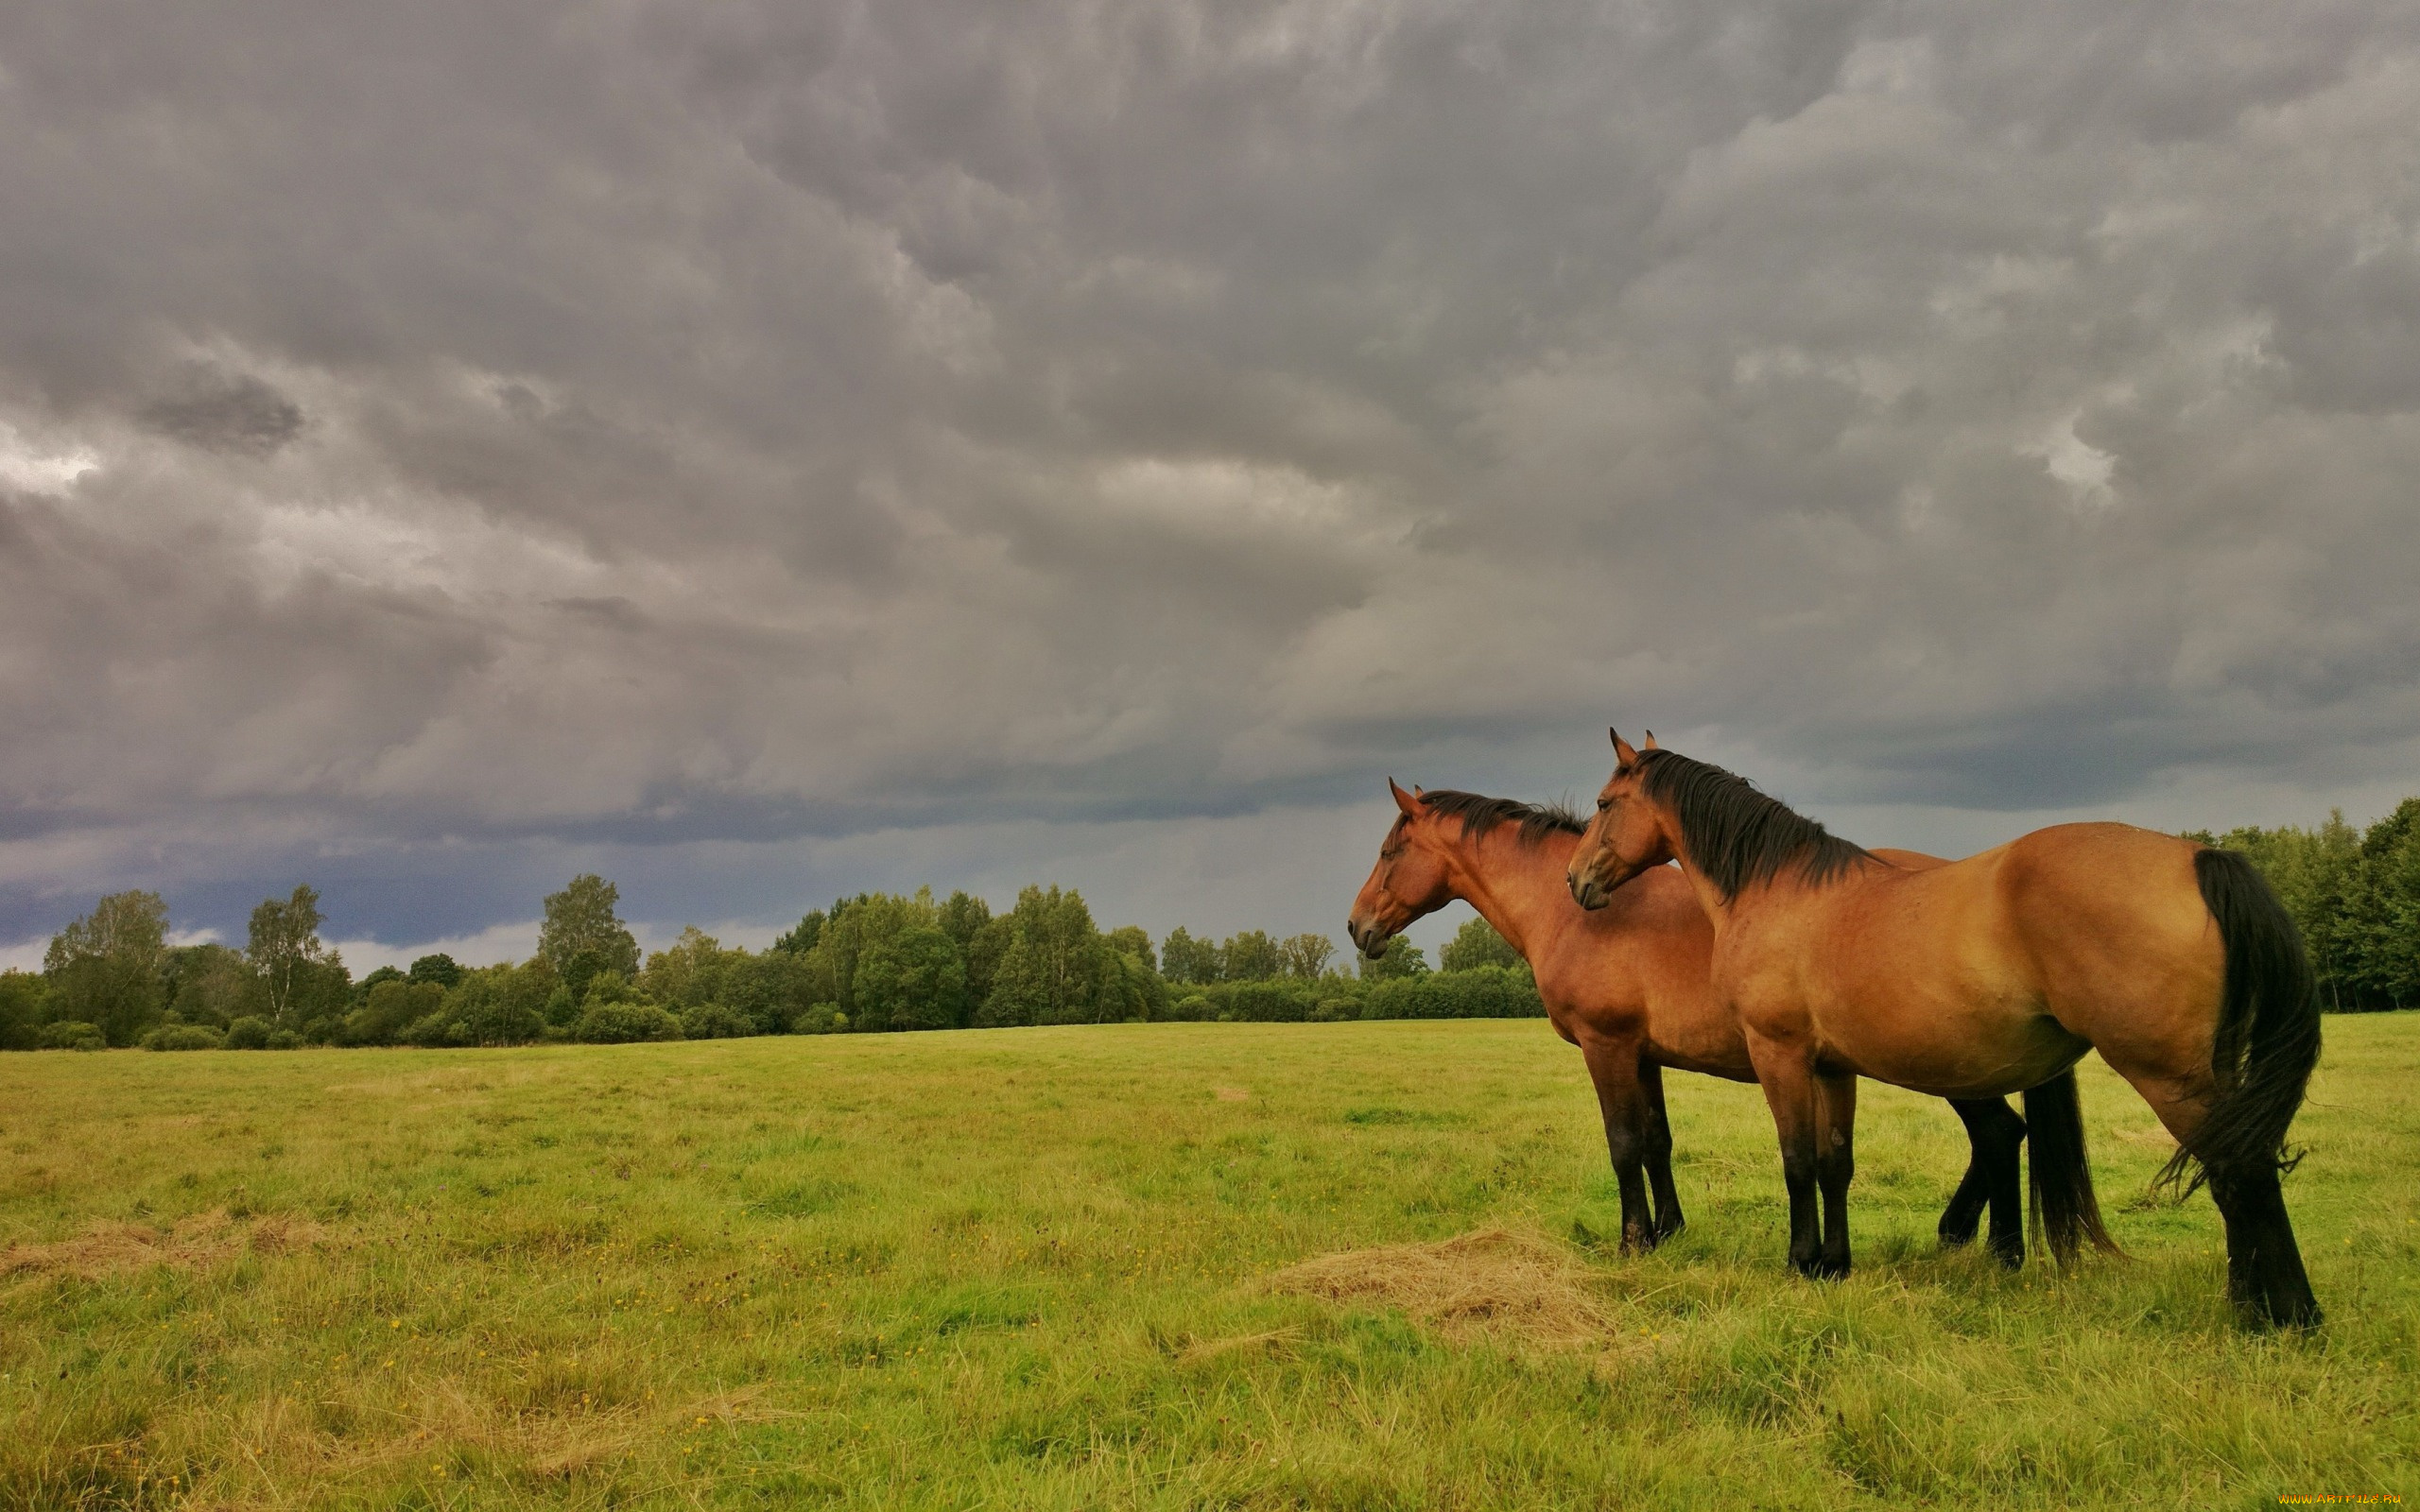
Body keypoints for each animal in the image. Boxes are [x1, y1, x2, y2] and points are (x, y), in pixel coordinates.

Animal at [1345, 779, 2100, 1258]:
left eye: (1388, 852)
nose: (1356, 927)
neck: (1578, 912)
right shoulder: (1643, 1054)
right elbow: (1656, 1141)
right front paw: (1670, 1231)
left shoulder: (1606, 1046)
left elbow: (1624, 1143)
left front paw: (1633, 1243)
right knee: (2000, 1134)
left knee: (1999, 1133)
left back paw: (1992, 1248)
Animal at [1558, 735, 2313, 1325]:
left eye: (1604, 804)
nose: (1575, 881)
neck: (1777, 892)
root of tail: (2198, 857)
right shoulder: (1832, 1067)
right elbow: (1835, 1162)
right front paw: (1834, 1265)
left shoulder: (1781, 1056)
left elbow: (1797, 1161)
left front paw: (1800, 1263)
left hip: (2167, 1073)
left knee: (2238, 1172)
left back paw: (2278, 1314)